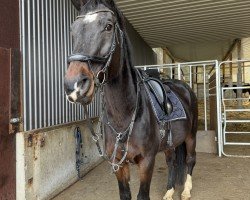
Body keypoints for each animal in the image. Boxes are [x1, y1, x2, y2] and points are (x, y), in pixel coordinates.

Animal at [64, 0, 197, 199]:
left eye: (108, 26)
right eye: (73, 29)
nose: (74, 86)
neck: (125, 115)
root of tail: (184, 88)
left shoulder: (147, 162)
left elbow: (142, 195)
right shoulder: (119, 164)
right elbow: (125, 194)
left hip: (191, 136)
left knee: (190, 159)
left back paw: (186, 191)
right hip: (170, 144)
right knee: (172, 162)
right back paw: (169, 191)